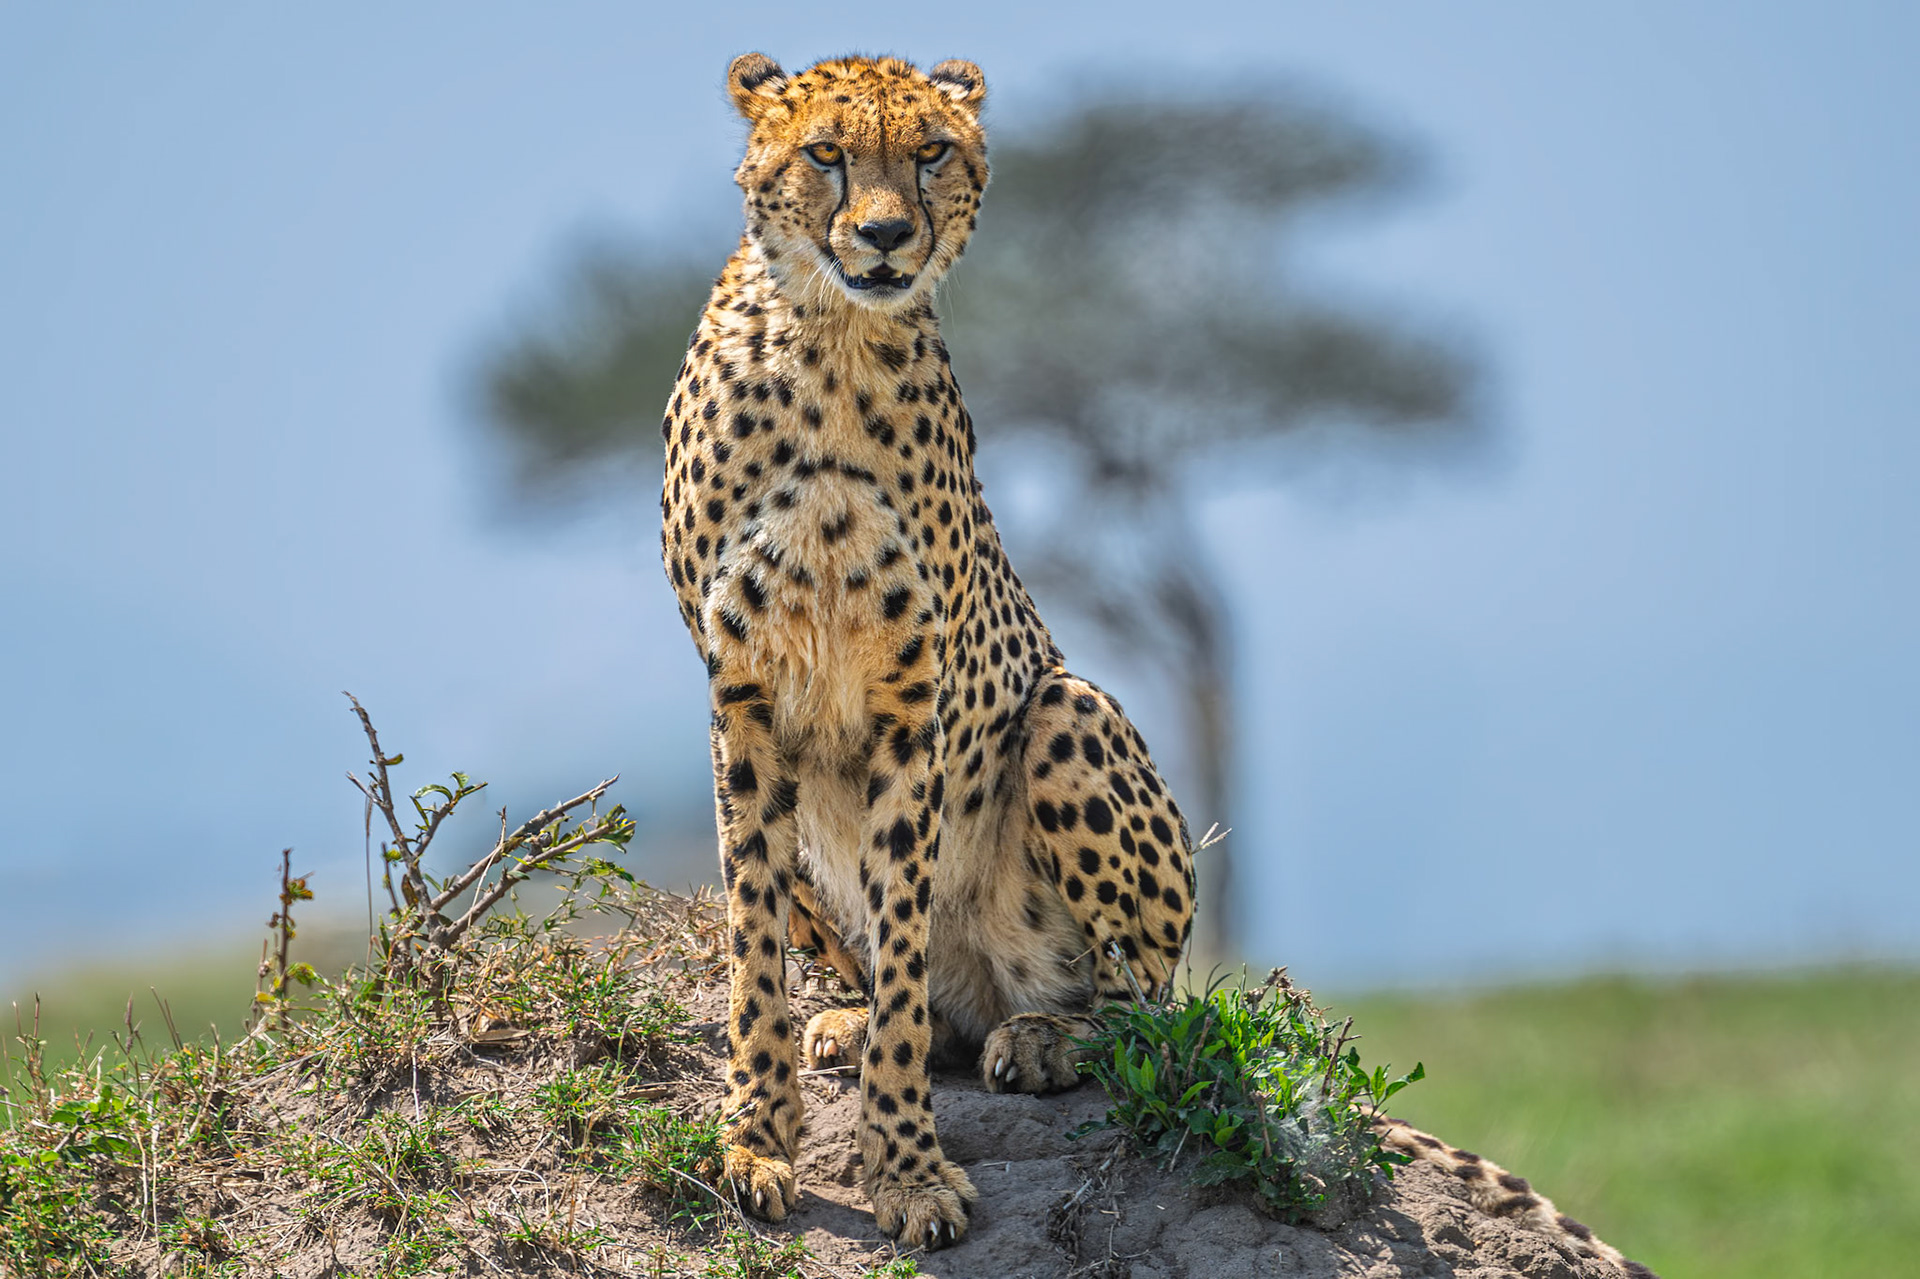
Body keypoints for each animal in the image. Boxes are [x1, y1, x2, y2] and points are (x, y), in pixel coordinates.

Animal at [658, 52, 1655, 1275]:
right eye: (826, 153)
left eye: (931, 151)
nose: (887, 235)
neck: (833, 337)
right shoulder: (741, 700)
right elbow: (756, 941)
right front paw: (756, 1139)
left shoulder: (912, 701)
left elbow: (899, 950)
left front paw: (907, 1169)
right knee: (918, 994)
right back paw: (854, 1023)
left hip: (1068, 714)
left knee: (1144, 1015)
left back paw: (1045, 1038)